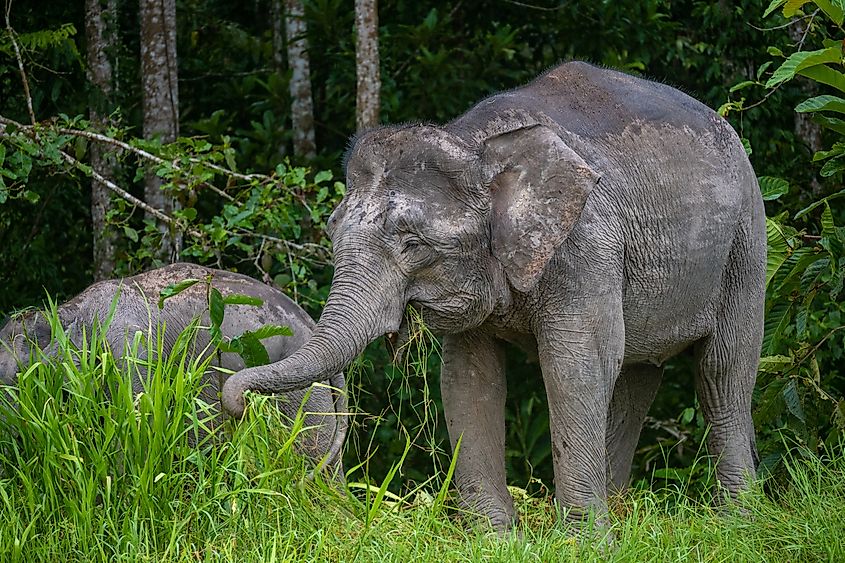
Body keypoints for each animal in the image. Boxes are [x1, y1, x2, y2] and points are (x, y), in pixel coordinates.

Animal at [0, 262, 346, 472]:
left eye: (15, 376)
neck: (68, 312)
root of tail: (311, 322)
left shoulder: (131, 352)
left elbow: (136, 433)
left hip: (301, 397)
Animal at [222, 61, 766, 530]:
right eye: (334, 235)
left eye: (413, 244)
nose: (238, 404)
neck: (477, 145)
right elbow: (468, 377)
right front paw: (495, 538)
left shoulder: (585, 246)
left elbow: (576, 366)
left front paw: (582, 541)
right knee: (638, 377)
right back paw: (624, 513)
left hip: (746, 241)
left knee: (723, 369)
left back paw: (736, 521)